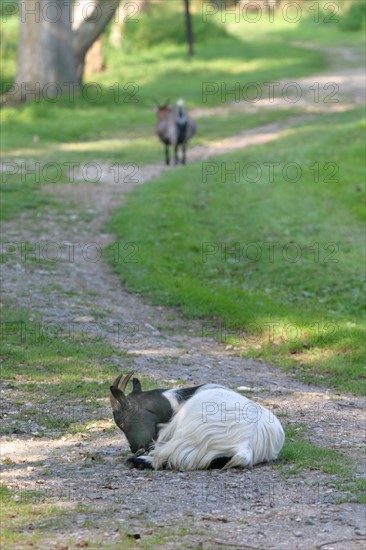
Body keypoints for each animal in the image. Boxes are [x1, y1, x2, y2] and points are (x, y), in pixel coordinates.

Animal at [110, 374, 284, 472]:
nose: (134, 448)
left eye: (122, 424)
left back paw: (138, 462)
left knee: (164, 457)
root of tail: (244, 443)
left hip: (186, 438)